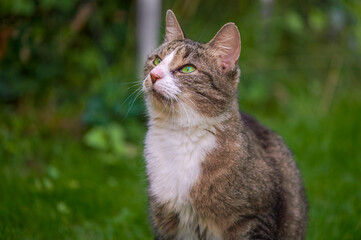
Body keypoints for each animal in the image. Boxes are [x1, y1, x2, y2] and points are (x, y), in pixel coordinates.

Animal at [141, 9, 306, 240]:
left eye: (187, 69)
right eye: (156, 61)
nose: (154, 75)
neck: (180, 135)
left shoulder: (255, 217)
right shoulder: (165, 221)